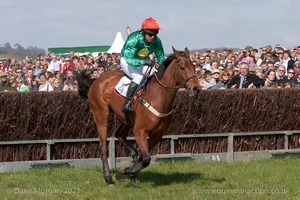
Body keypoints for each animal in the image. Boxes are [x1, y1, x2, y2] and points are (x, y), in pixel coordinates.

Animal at [75, 46, 202, 186]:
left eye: (194, 67)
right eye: (182, 67)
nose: (196, 89)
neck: (158, 97)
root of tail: (96, 80)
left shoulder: (157, 134)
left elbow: (144, 157)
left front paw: (132, 172)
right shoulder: (139, 131)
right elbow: (146, 158)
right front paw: (127, 170)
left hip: (127, 119)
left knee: (120, 134)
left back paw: (133, 156)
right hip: (101, 113)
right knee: (103, 148)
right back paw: (108, 178)